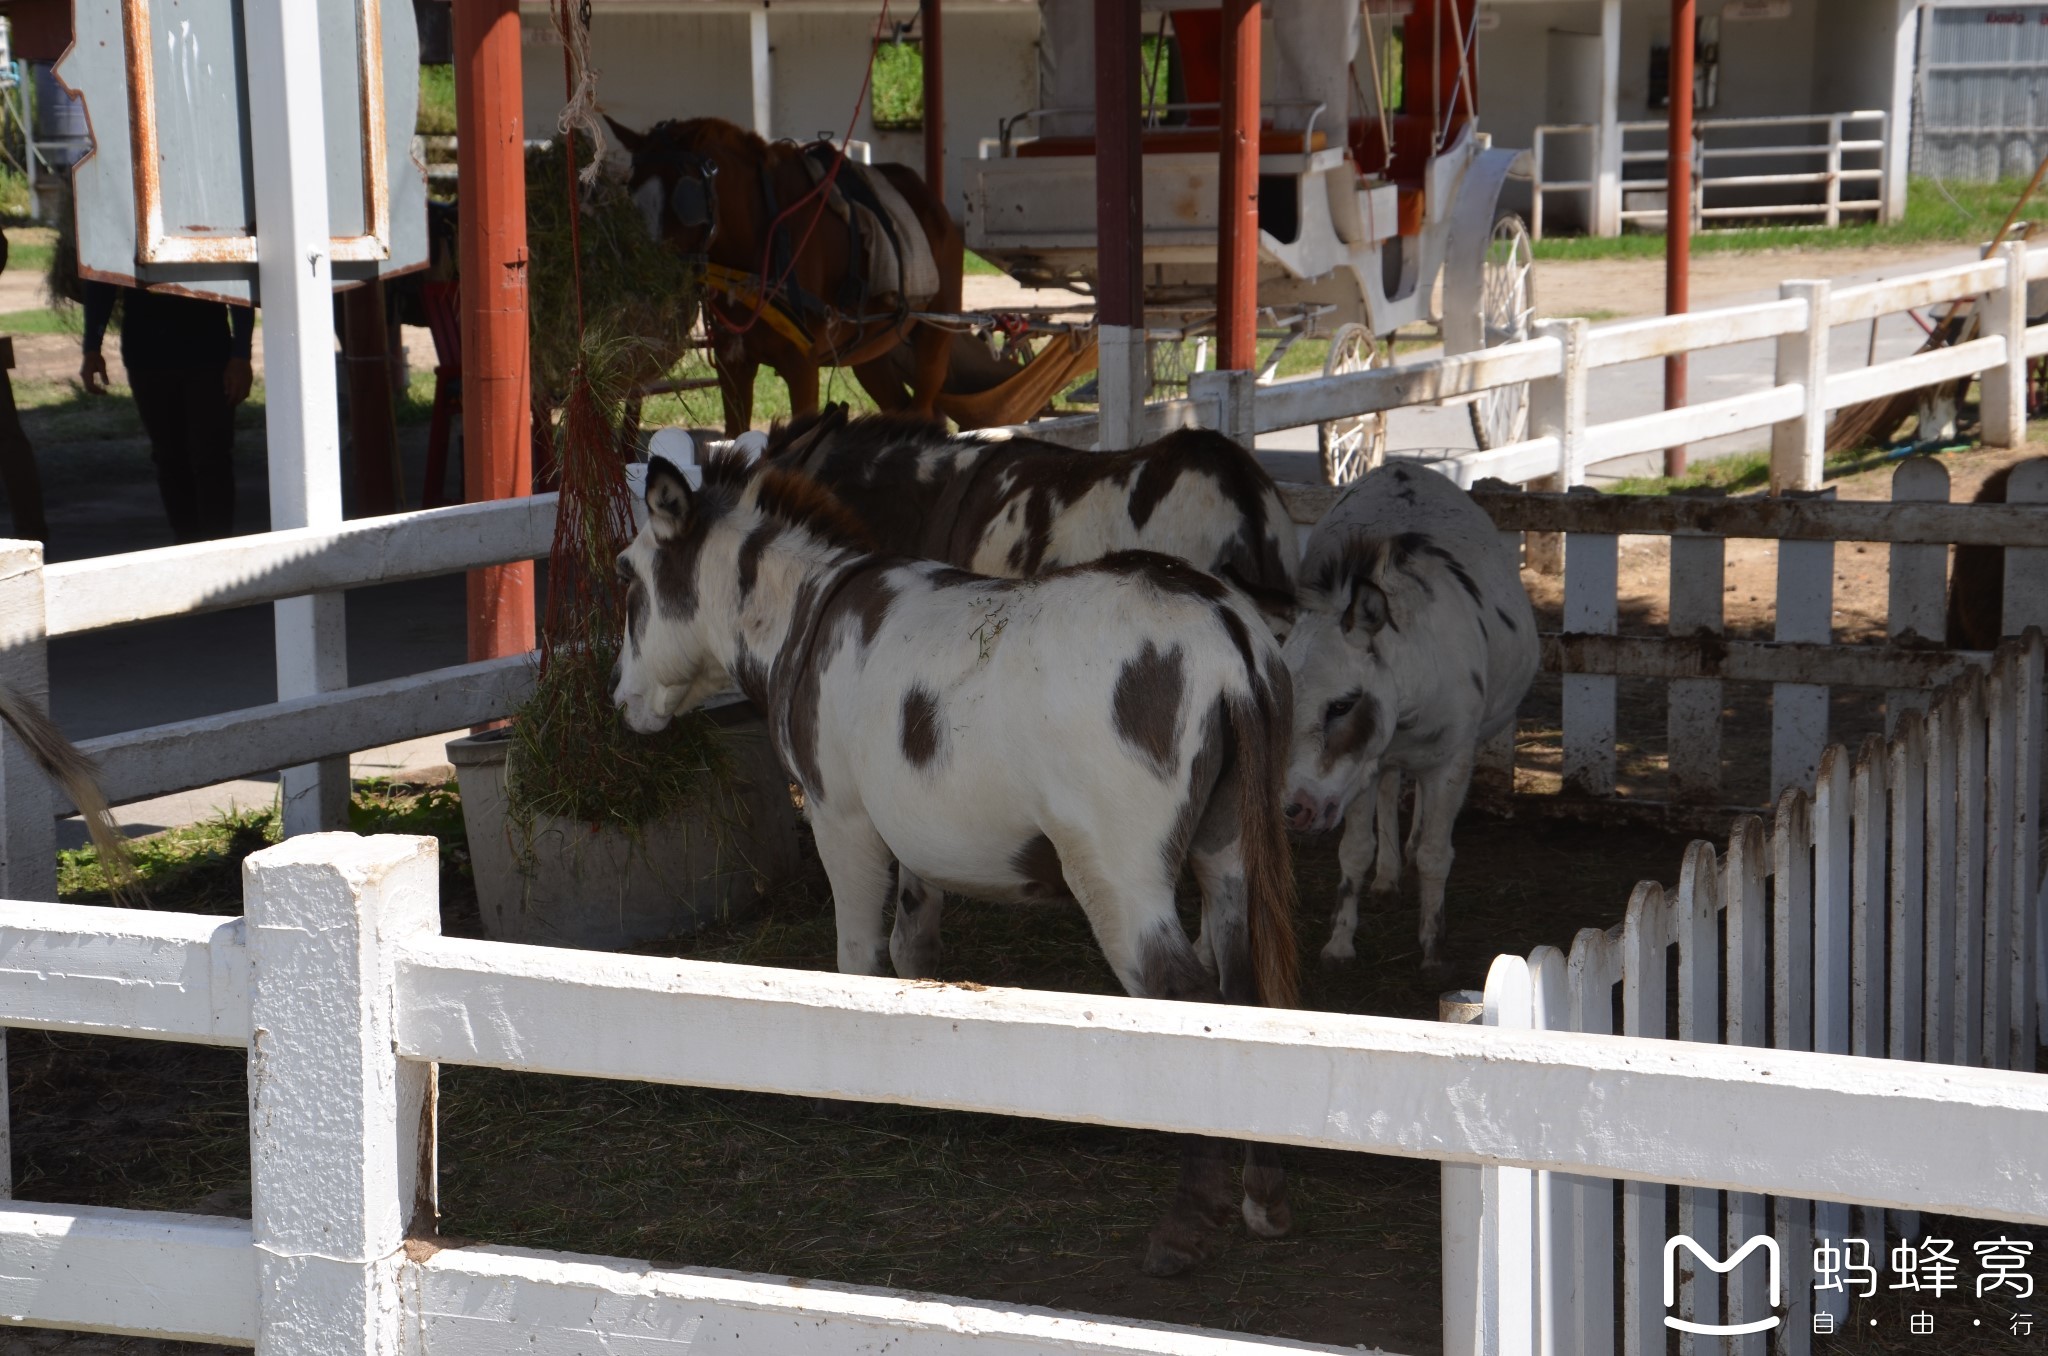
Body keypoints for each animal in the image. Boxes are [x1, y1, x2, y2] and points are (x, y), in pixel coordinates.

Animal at [602, 118, 962, 436]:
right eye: (630, 192)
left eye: (685, 197)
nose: (648, 275)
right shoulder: (733, 365)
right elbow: (736, 433)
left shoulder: (802, 367)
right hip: (870, 352)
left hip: (936, 331)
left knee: (925, 406)